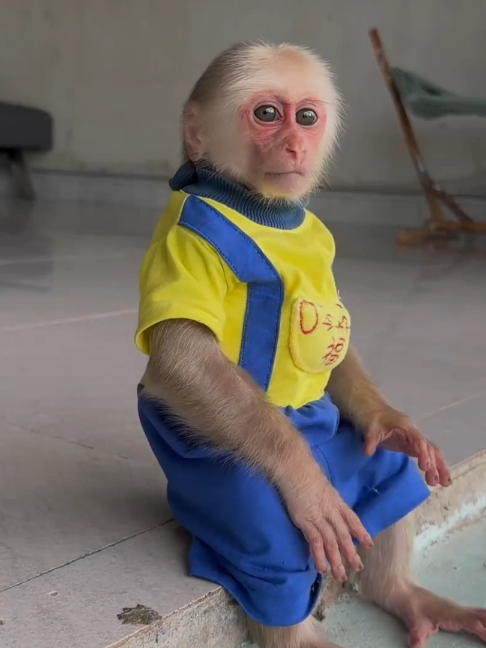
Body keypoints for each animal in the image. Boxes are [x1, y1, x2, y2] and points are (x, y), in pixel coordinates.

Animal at [134, 41, 486, 648]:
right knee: (268, 546)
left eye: (305, 117)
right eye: (267, 114)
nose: (295, 144)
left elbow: (350, 373)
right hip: (202, 476)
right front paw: (302, 476)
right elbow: (184, 361)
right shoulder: (185, 239)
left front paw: (393, 423)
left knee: (392, 478)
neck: (259, 207)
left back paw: (402, 592)